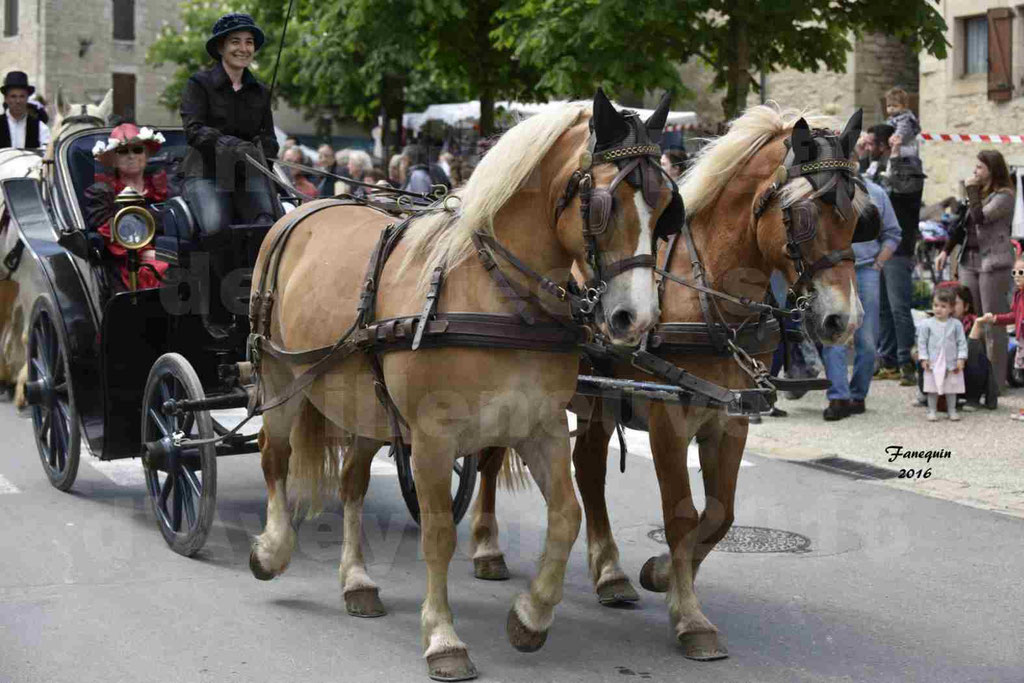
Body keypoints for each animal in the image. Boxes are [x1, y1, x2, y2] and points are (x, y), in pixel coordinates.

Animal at [248, 92, 679, 683]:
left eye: (665, 211)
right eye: (602, 207)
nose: (635, 319)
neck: (497, 295)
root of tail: (300, 210)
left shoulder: (540, 426)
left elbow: (567, 516)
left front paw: (531, 615)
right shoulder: (432, 441)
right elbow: (438, 535)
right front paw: (443, 637)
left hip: (366, 404)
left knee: (353, 484)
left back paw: (357, 580)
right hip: (281, 375)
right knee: (275, 456)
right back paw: (272, 550)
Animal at [468, 102, 868, 663]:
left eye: (857, 218)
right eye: (806, 215)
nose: (842, 321)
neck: (707, 293)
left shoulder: (729, 420)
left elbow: (720, 515)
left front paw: (662, 576)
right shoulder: (669, 422)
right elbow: (680, 514)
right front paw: (690, 618)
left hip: (598, 398)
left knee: (588, 469)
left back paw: (610, 572)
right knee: (489, 458)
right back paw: (487, 546)